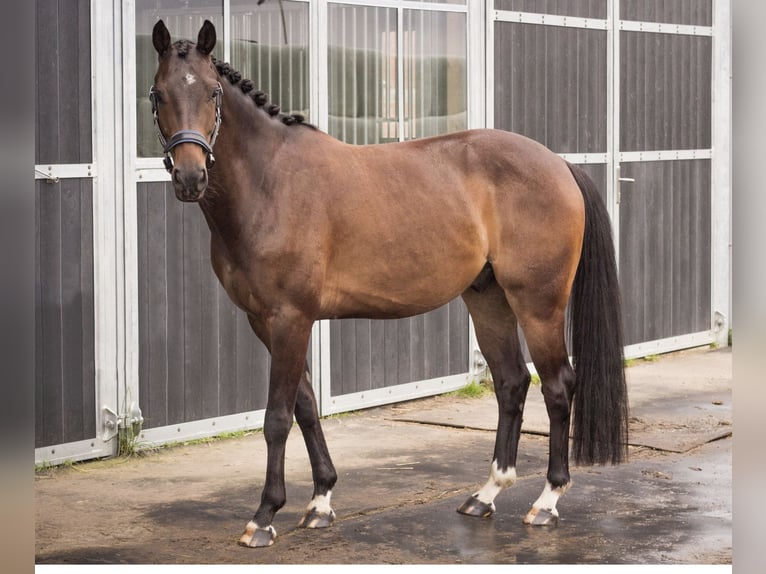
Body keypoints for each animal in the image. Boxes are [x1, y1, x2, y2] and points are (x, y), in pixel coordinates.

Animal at [149, 19, 629, 548]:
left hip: (538, 305)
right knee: (511, 383)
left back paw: (547, 501)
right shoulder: (265, 321)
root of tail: (559, 164)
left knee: (558, 386)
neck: (270, 181)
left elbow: (277, 418)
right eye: (157, 94)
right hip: (488, 300)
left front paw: (264, 515)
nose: (190, 177)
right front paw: (320, 502)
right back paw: (485, 495)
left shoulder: (290, 318)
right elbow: (306, 407)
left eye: (213, 93)